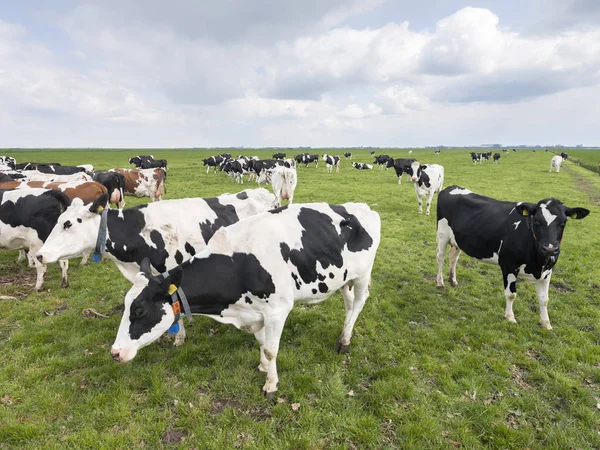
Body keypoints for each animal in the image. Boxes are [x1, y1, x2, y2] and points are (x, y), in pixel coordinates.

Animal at [109, 202, 380, 400]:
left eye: (140, 310)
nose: (115, 353)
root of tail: (362, 207)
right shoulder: (255, 313)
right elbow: (261, 343)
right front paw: (263, 367)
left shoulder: (277, 311)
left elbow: (271, 349)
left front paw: (271, 385)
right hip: (343, 277)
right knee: (348, 302)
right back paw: (343, 334)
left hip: (363, 274)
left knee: (359, 302)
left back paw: (345, 341)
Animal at [436, 186, 592, 330]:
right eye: (536, 220)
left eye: (564, 222)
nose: (550, 249)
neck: (538, 263)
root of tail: (452, 187)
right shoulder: (509, 265)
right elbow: (511, 294)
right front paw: (510, 317)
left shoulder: (548, 271)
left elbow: (544, 299)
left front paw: (546, 324)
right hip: (442, 234)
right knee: (440, 257)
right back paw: (440, 282)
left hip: (458, 240)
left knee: (453, 257)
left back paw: (453, 280)